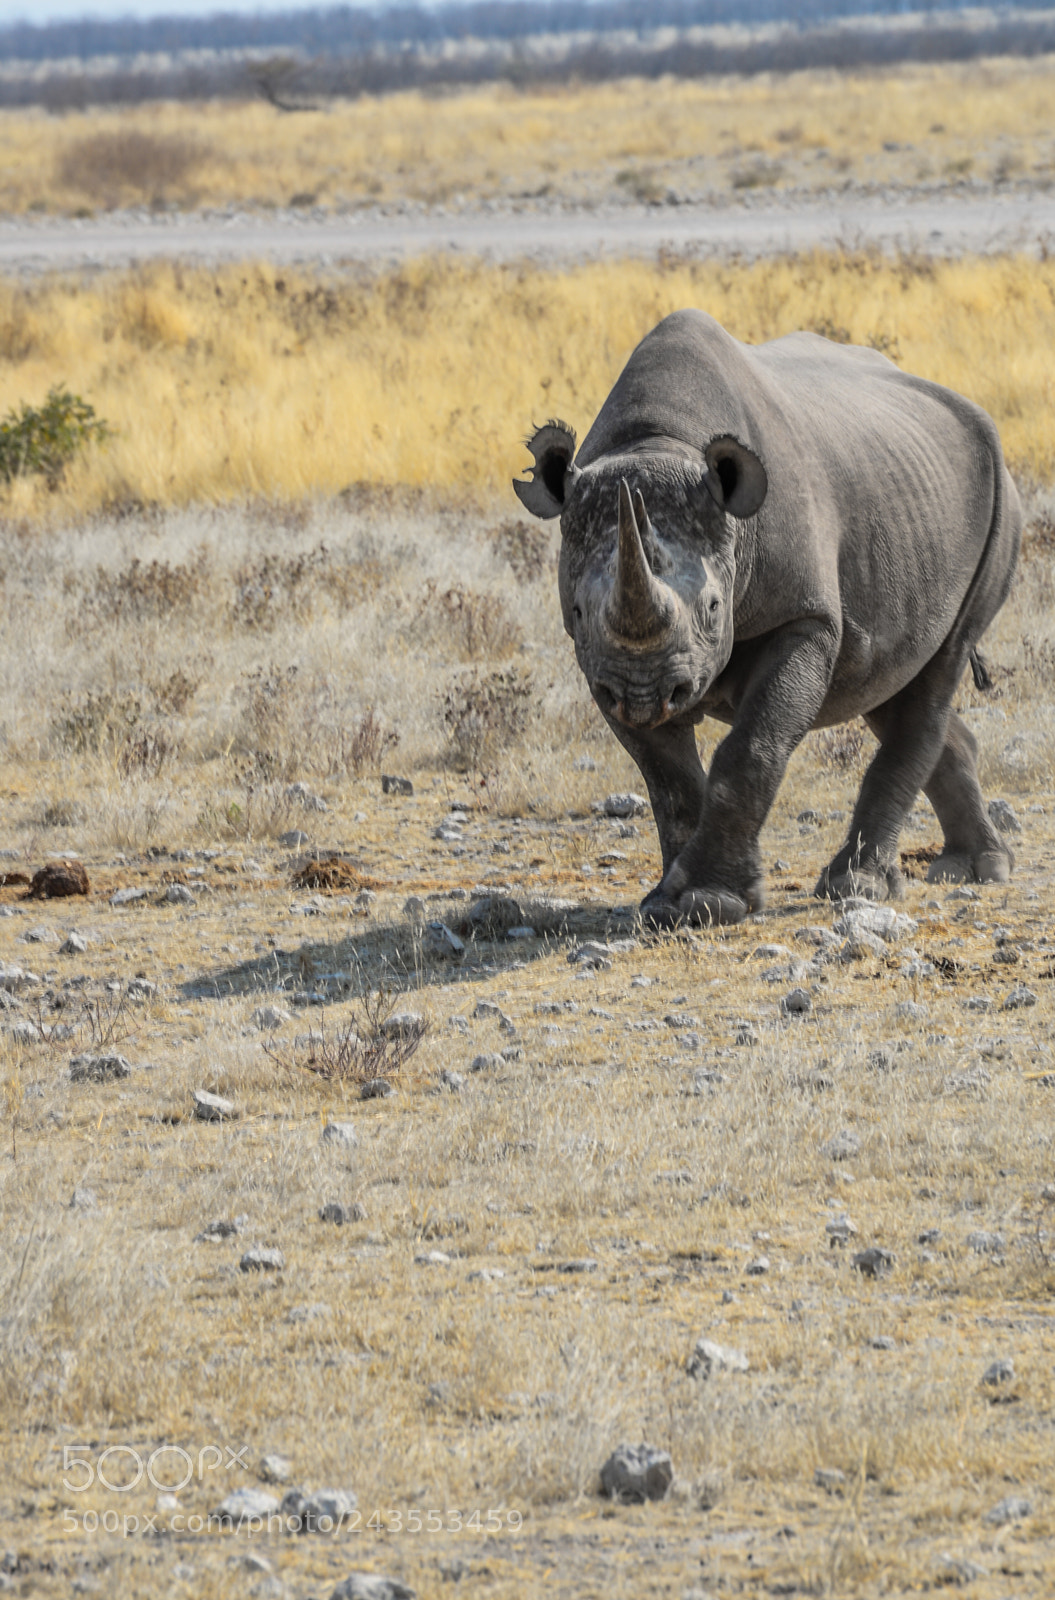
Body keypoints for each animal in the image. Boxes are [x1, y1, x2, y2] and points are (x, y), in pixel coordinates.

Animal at [514, 310, 1021, 925]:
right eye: (580, 610)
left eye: (713, 607)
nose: (647, 694)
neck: (659, 444)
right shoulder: (601, 665)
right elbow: (665, 775)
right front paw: (672, 904)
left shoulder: (804, 617)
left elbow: (751, 746)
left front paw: (712, 901)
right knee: (889, 684)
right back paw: (970, 869)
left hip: (1000, 499)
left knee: (940, 666)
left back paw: (861, 886)